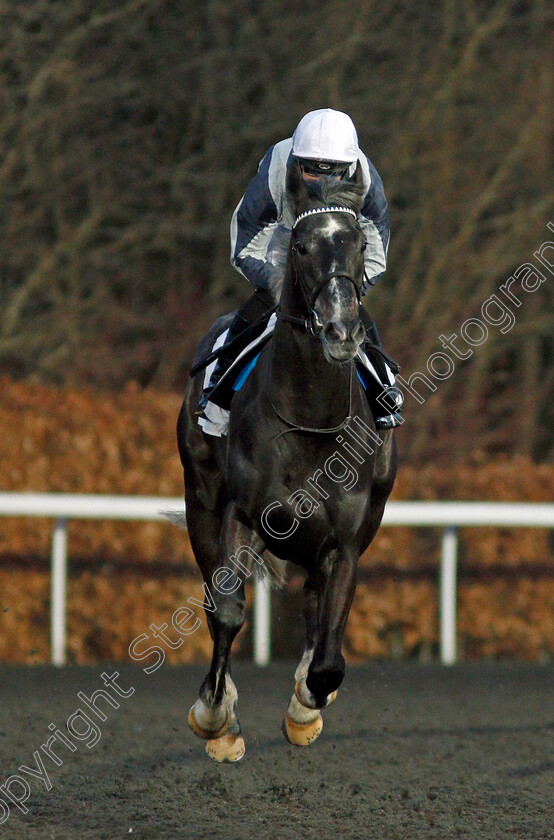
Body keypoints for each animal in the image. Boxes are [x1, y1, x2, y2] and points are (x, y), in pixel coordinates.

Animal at [175, 161, 394, 764]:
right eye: (300, 245)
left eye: (357, 241)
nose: (341, 329)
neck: (310, 419)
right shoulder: (240, 514)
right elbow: (227, 610)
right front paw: (216, 718)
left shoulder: (344, 543)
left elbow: (328, 660)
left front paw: (304, 709)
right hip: (200, 504)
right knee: (216, 601)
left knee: (317, 611)